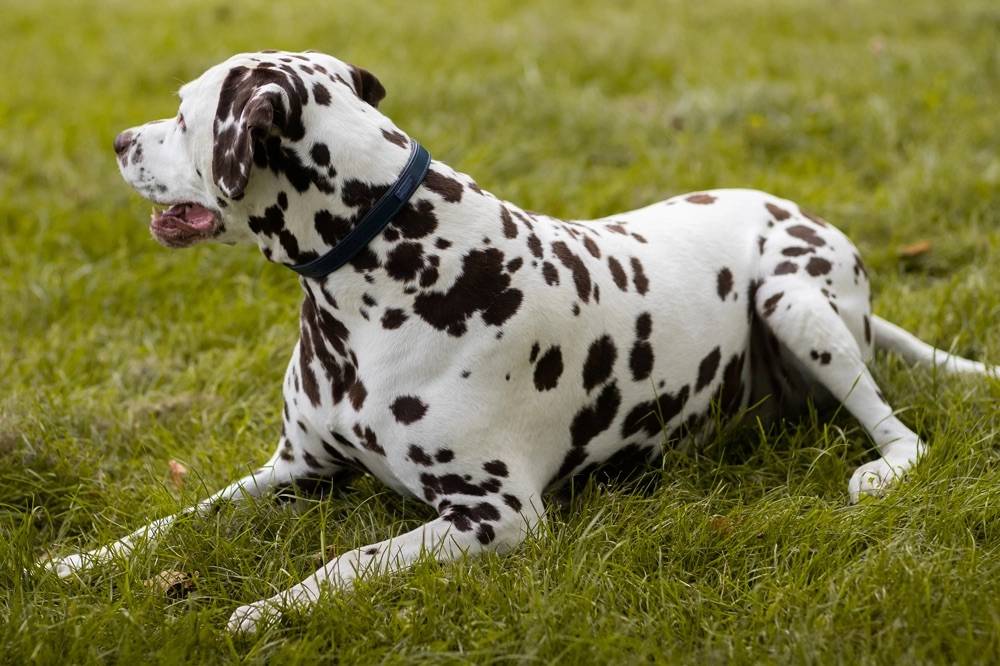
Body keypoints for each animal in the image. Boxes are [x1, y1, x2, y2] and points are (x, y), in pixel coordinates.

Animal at [45, 49, 992, 632]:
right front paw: (80, 561)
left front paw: (268, 609)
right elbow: (174, 519)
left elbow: (350, 560)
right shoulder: (293, 471)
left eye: (183, 114)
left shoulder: (494, 515)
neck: (382, 271)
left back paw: (882, 466)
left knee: (899, 429)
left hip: (796, 300)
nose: (119, 141)